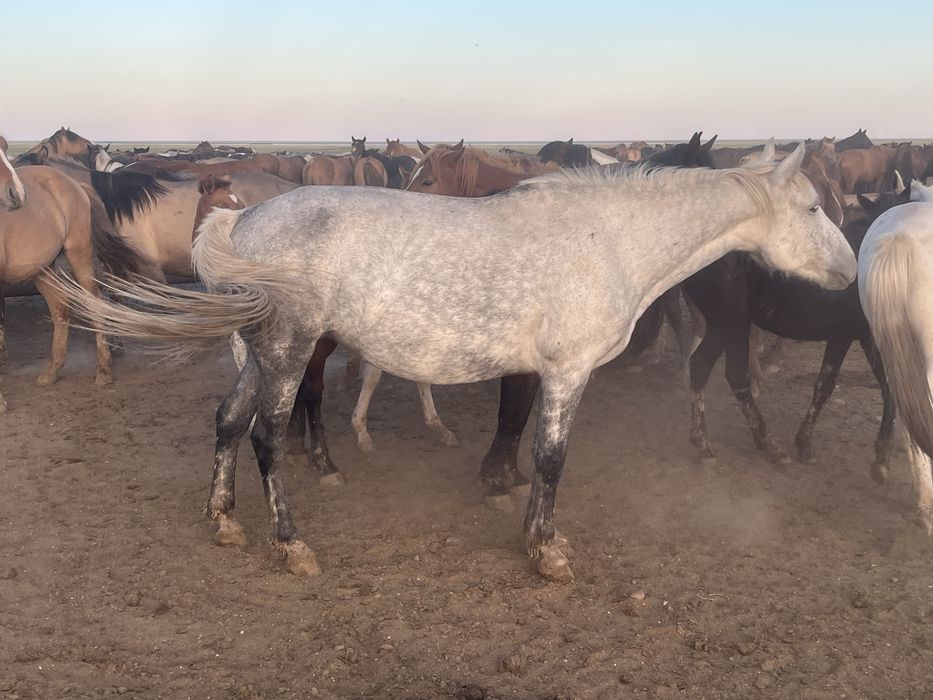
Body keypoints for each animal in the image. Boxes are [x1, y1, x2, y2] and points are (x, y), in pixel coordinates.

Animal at [58, 146, 856, 580]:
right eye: (814, 207)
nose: (850, 270)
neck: (607, 239)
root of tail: (240, 216)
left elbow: (522, 437)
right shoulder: (567, 371)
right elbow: (551, 457)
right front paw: (545, 551)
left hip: (257, 354)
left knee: (227, 421)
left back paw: (224, 523)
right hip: (288, 352)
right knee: (265, 438)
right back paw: (291, 544)